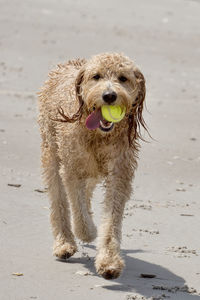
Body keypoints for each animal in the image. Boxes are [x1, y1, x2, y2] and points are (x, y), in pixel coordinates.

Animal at [38, 52, 147, 280]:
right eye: (96, 76)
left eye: (123, 78)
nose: (109, 96)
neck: (99, 135)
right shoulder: (71, 169)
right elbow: (77, 209)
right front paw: (87, 232)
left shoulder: (119, 175)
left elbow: (111, 221)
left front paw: (109, 262)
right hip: (51, 153)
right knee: (59, 200)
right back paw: (64, 242)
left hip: (93, 171)